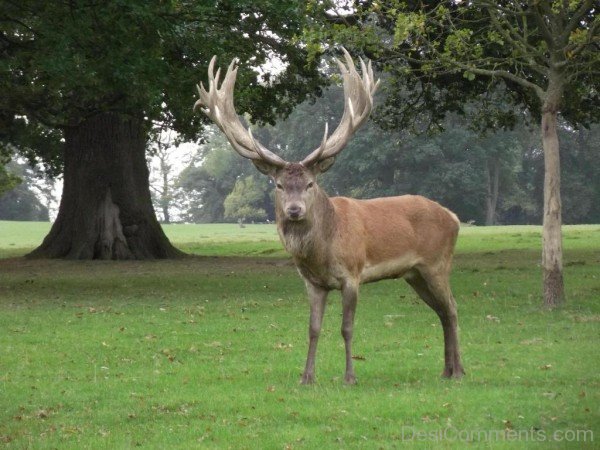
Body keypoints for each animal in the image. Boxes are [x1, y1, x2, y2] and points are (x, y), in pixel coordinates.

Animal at [195, 49, 466, 384]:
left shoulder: (352, 274)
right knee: (441, 311)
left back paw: (459, 371)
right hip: (414, 274)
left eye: (310, 184)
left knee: (452, 308)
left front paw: (350, 376)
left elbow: (346, 328)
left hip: (437, 263)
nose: (294, 210)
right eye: (279, 185)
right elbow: (313, 329)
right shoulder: (313, 283)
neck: (322, 252)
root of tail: (454, 218)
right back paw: (447, 370)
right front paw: (307, 377)